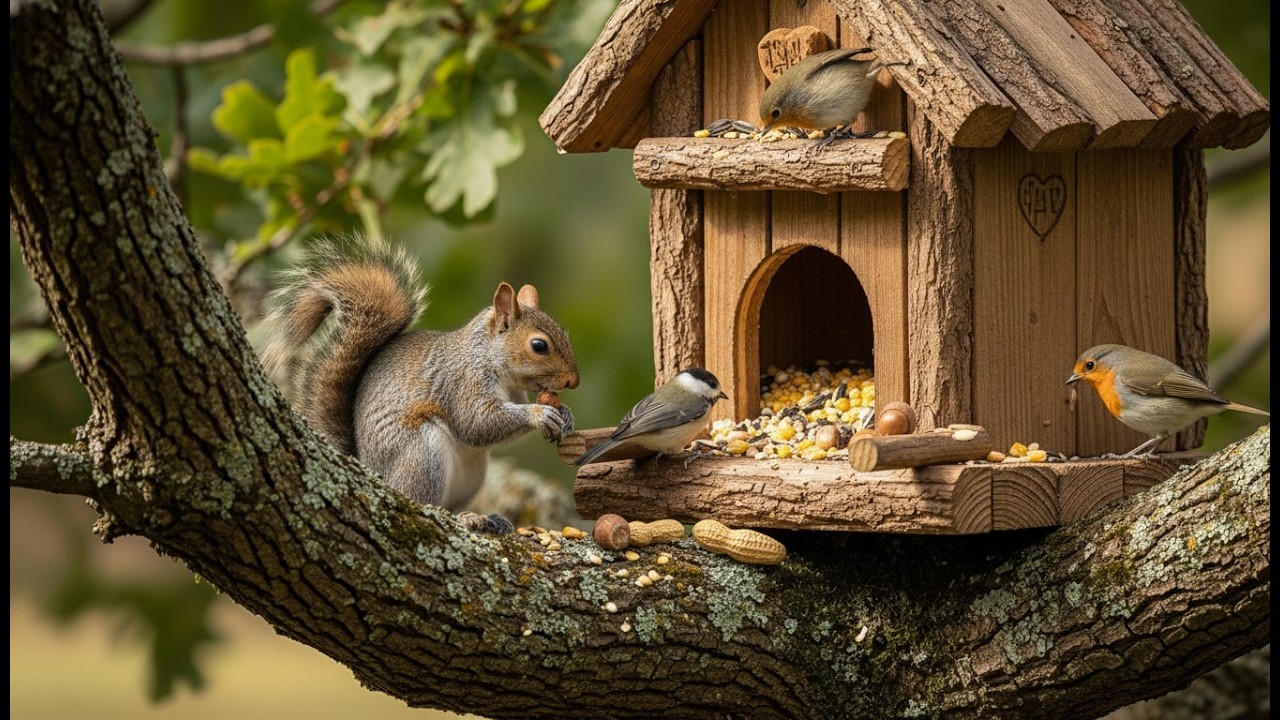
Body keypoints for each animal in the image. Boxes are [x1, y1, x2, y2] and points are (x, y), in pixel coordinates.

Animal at [262, 234, 579, 533]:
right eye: (539, 345)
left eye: (564, 332)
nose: (573, 381)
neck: (491, 359)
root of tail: (373, 473)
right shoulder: (461, 382)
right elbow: (477, 422)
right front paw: (539, 414)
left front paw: (564, 414)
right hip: (422, 454)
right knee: (423, 501)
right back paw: (465, 518)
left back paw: (485, 517)